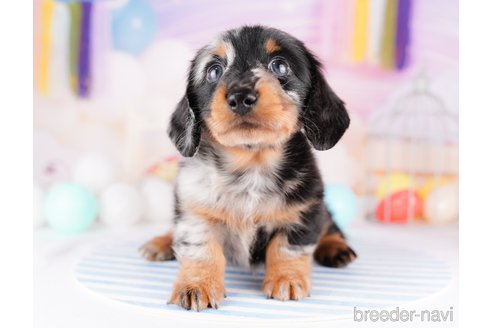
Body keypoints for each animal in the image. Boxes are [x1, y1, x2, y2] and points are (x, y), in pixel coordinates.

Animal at [140, 25, 356, 310]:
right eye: (214, 71)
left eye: (280, 66)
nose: (240, 96)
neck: (251, 164)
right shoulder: (195, 213)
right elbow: (201, 251)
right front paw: (197, 284)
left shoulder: (304, 211)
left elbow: (286, 249)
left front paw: (286, 278)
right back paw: (161, 242)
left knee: (331, 225)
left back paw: (335, 247)